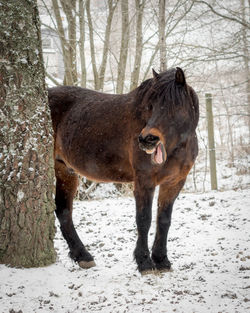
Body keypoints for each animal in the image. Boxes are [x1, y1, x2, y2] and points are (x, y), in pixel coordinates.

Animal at [48, 67, 199, 272]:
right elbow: (144, 219)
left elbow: (164, 220)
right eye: (151, 106)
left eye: (174, 107)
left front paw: (161, 260)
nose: (147, 139)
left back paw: (82, 256)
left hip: (65, 170)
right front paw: (144, 262)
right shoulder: (144, 181)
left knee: (63, 211)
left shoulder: (174, 182)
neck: (175, 146)